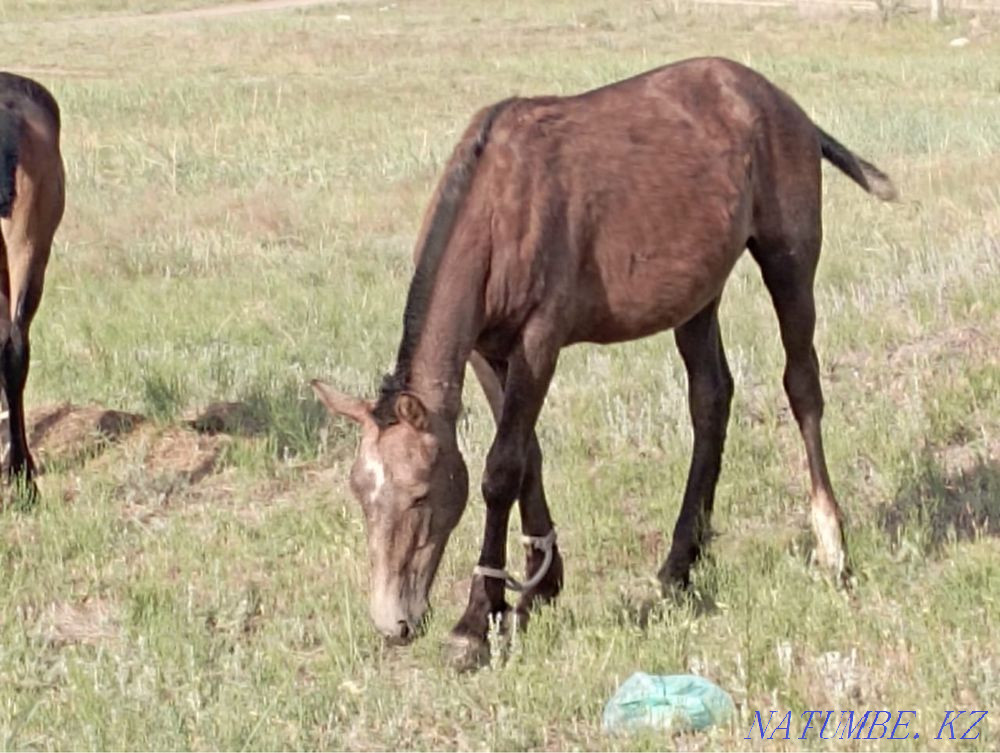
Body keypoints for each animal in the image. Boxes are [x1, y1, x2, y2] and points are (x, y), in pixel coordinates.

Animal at [311, 57, 896, 661]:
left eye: (421, 494)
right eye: (361, 493)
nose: (394, 623)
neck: (496, 207)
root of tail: (784, 104)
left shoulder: (540, 337)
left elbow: (501, 469)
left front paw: (477, 619)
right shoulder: (487, 351)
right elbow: (527, 455)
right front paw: (538, 587)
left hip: (789, 257)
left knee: (802, 385)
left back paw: (831, 546)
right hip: (697, 294)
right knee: (711, 399)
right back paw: (679, 566)